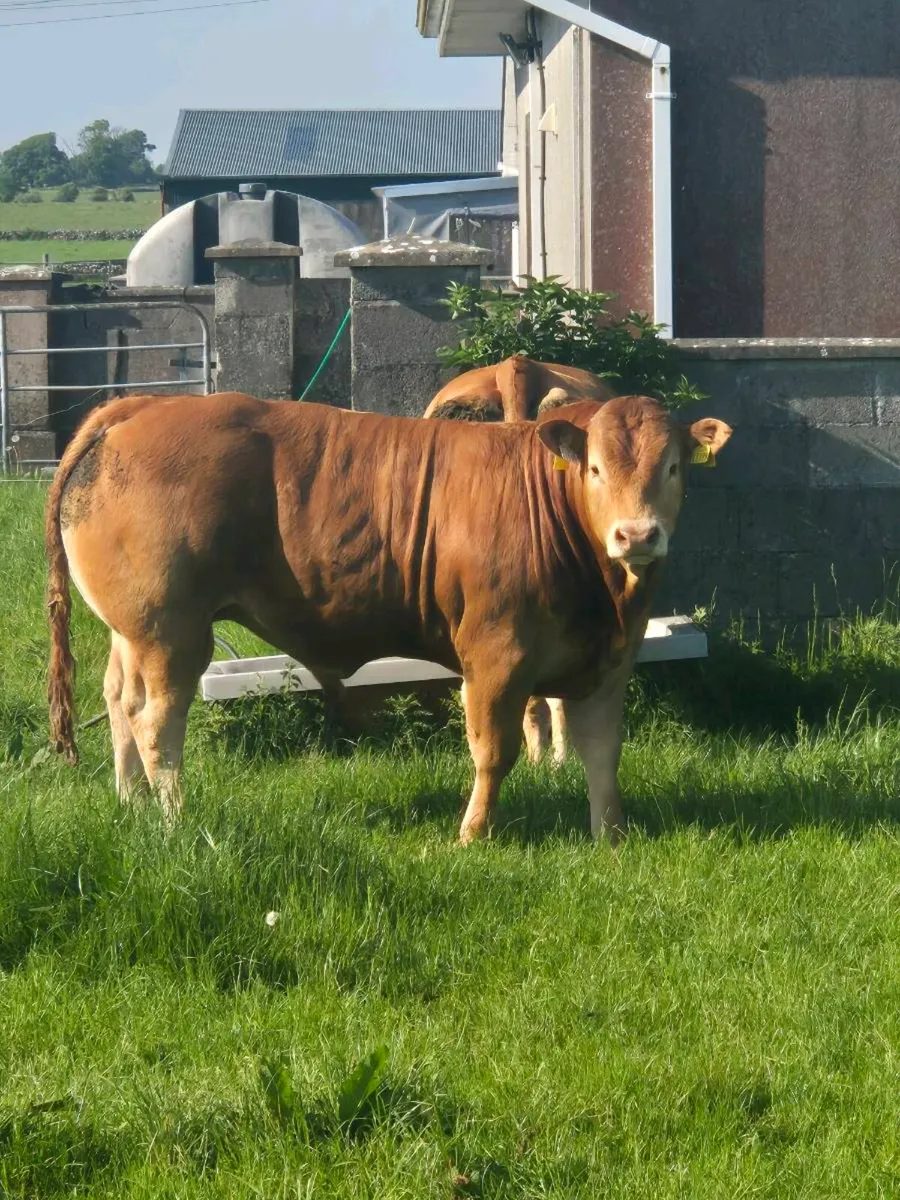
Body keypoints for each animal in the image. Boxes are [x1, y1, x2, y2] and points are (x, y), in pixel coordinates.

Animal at [46, 390, 731, 844]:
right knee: (155, 721)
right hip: (172, 631)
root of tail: (141, 406)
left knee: (119, 701)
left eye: (672, 466)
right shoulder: (496, 655)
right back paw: (176, 821)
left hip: (132, 631)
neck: (602, 592)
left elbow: (602, 753)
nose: (636, 534)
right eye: (594, 468)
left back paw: (132, 805)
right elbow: (494, 749)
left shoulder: (610, 661)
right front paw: (472, 836)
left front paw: (610, 838)